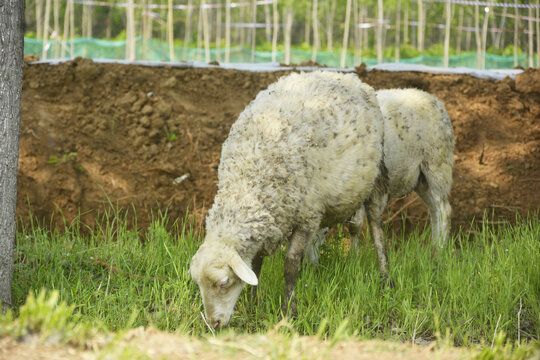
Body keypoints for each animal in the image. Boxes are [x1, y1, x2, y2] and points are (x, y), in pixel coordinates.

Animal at [188, 71, 386, 328]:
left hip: (374, 179)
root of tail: (343, 75)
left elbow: (290, 265)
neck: (247, 183)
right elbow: (256, 266)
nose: (214, 324)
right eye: (199, 285)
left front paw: (288, 312)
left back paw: (383, 276)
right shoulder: (269, 224)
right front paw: (253, 305)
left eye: (223, 283)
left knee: (373, 227)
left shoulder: (306, 218)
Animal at [306, 88, 454, 264]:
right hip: (421, 180)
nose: (310, 265)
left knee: (443, 210)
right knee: (434, 210)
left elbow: (355, 225)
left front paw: (353, 259)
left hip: (437, 165)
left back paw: (439, 253)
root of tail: (434, 99)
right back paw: (433, 252)